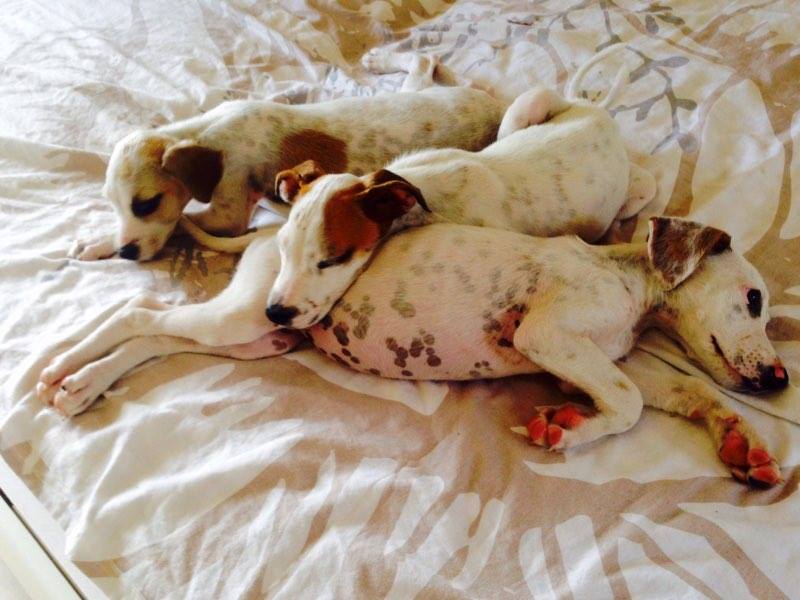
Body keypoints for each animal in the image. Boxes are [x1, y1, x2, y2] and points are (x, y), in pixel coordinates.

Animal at [37, 217, 787, 486]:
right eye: (754, 298)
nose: (782, 378)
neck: (631, 283)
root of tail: (273, 232)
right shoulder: (547, 337)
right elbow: (628, 406)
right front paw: (567, 431)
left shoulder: (599, 362)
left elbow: (686, 393)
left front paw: (744, 447)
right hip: (247, 313)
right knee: (137, 313)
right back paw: (69, 374)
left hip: (257, 337)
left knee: (158, 334)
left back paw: (83, 380)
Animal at [69, 53, 504, 262]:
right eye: (113, 205)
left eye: (146, 204)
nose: (126, 254)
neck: (209, 134)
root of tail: (493, 106)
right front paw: (102, 240)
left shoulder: (226, 218)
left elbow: (178, 223)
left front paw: (99, 242)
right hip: (417, 89)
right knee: (426, 61)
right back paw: (381, 60)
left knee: (427, 60)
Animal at [264, 86, 657, 329]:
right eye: (282, 248)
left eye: (333, 259)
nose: (274, 313)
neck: (425, 194)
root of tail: (599, 115)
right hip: (526, 107)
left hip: (635, 194)